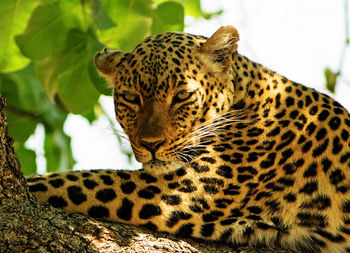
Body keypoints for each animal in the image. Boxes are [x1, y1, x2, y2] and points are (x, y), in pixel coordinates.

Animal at [26, 26, 350, 253]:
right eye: (131, 98)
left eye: (181, 96)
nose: (151, 144)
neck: (245, 97)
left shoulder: (181, 189)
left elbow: (73, 181)